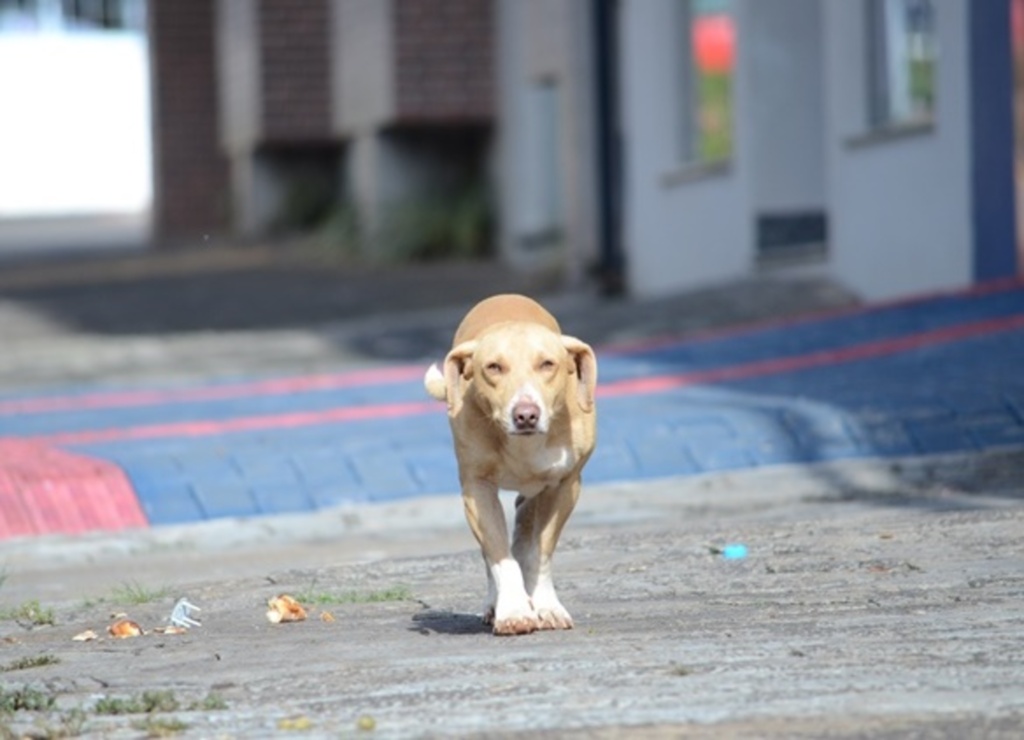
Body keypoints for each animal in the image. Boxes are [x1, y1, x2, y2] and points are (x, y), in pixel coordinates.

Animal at [425, 294, 598, 638]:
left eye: (547, 364)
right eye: (494, 367)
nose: (526, 414)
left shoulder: (565, 486)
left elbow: (538, 552)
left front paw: (545, 605)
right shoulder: (477, 489)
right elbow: (499, 555)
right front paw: (514, 610)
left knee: (524, 527)